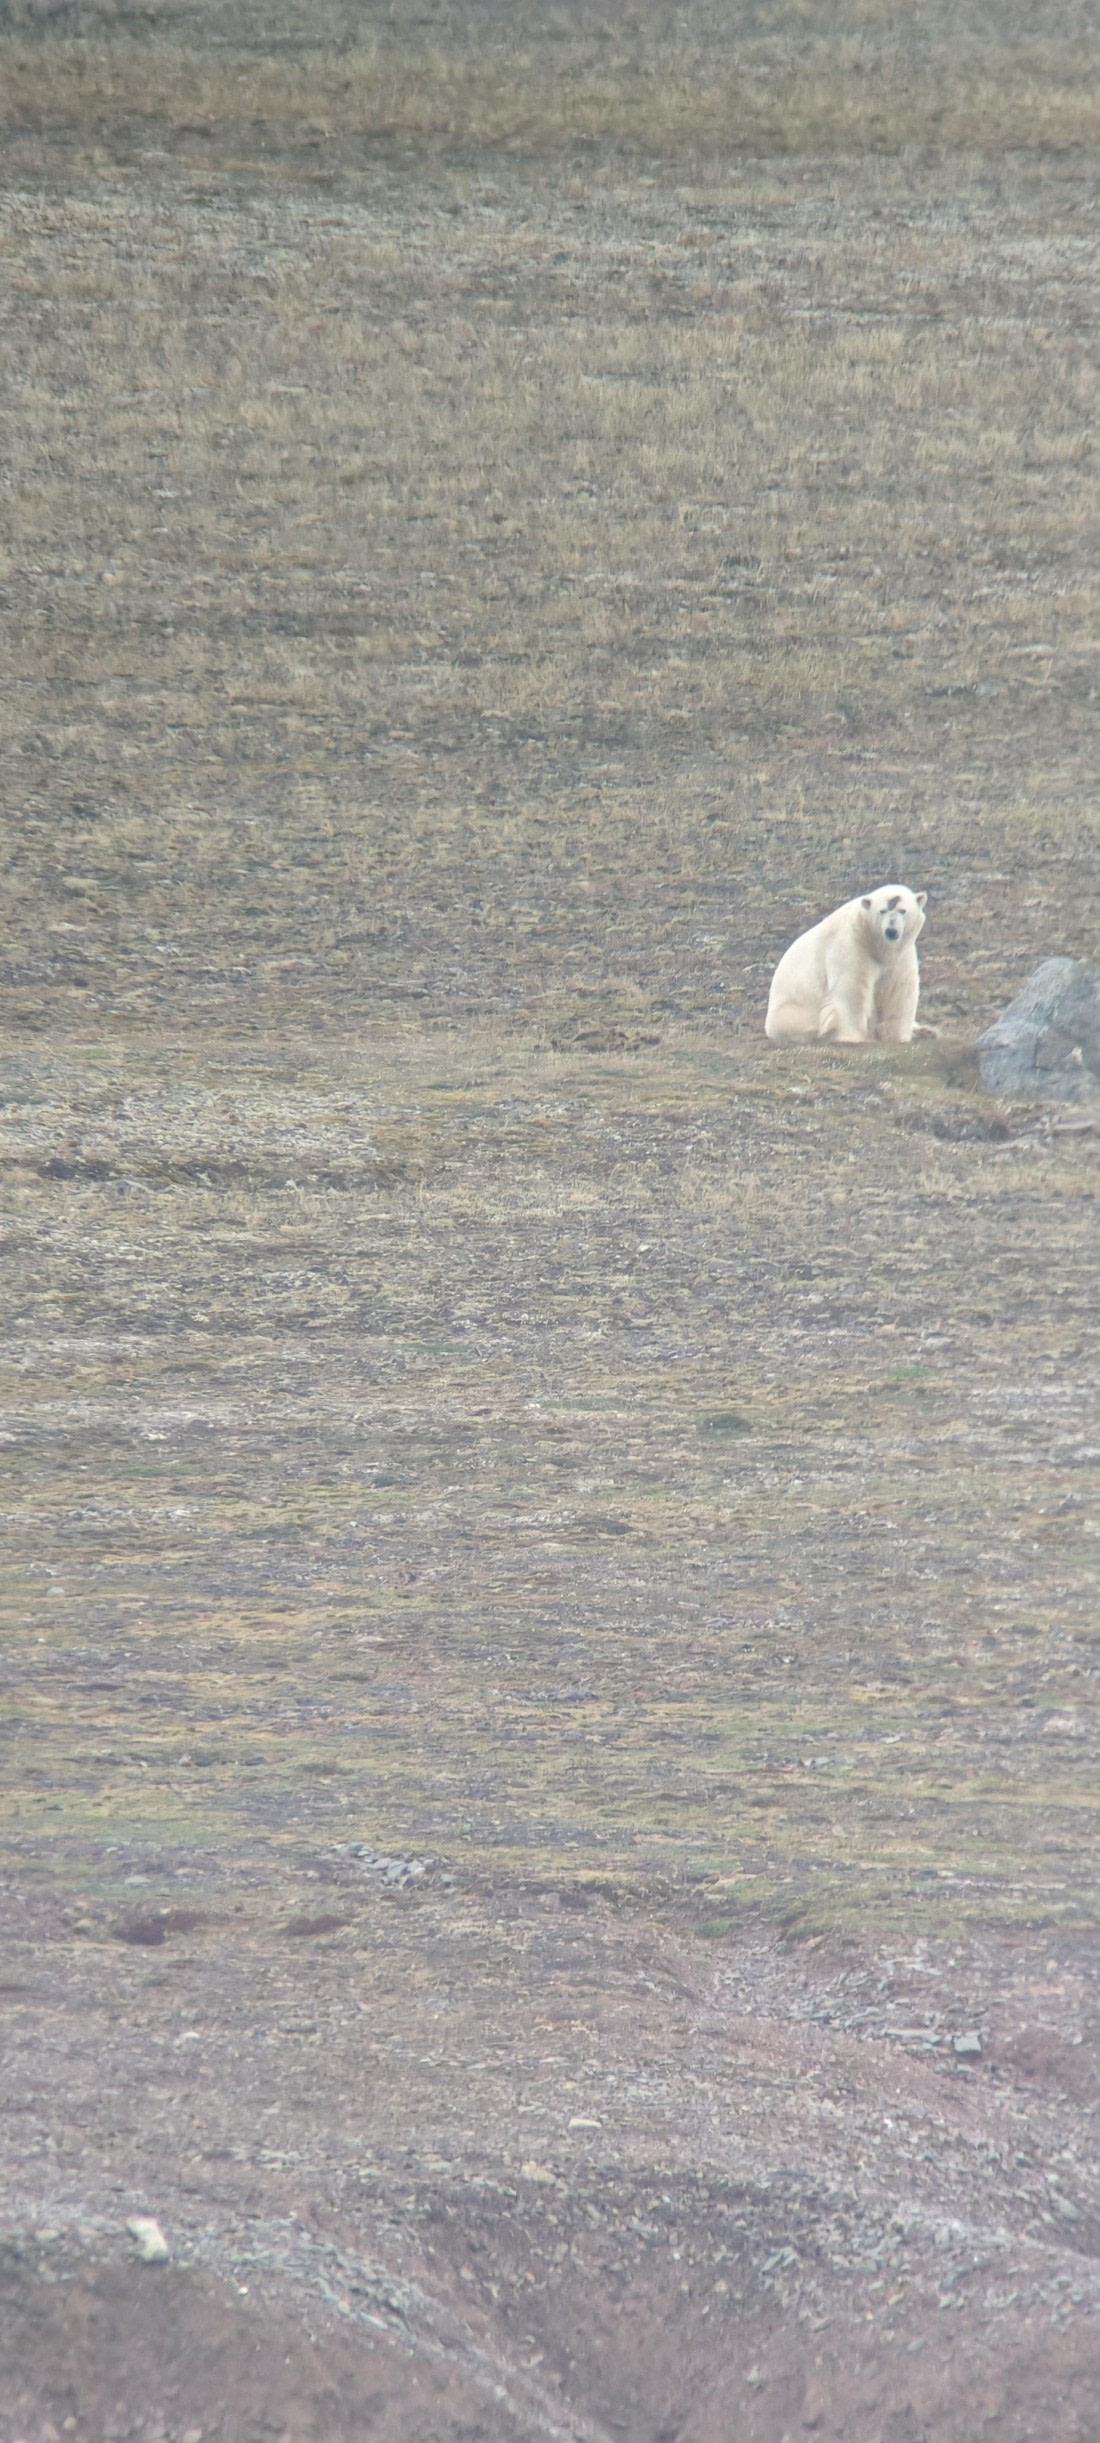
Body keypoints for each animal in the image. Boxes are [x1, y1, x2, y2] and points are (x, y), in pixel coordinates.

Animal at [765, 885, 928, 1046]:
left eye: (903, 910)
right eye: (882, 911)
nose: (891, 931)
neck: (875, 943)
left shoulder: (901, 956)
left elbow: (899, 989)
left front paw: (897, 1036)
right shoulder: (851, 945)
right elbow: (852, 988)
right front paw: (854, 1037)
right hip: (792, 1012)